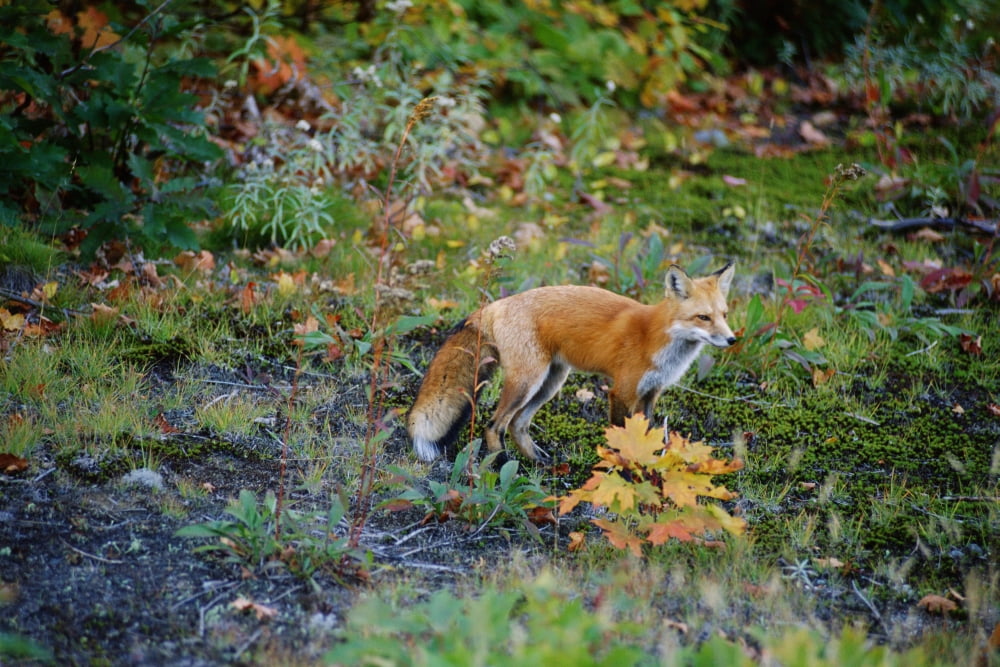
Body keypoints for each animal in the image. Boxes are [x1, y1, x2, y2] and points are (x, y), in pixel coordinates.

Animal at [407, 262, 736, 463]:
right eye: (703, 317)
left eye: (724, 314)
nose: (732, 340)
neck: (656, 338)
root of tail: (495, 305)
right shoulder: (622, 391)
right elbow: (621, 436)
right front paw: (624, 471)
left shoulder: (651, 393)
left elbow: (645, 435)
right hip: (527, 382)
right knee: (494, 425)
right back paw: (502, 464)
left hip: (551, 382)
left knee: (517, 424)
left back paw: (537, 461)